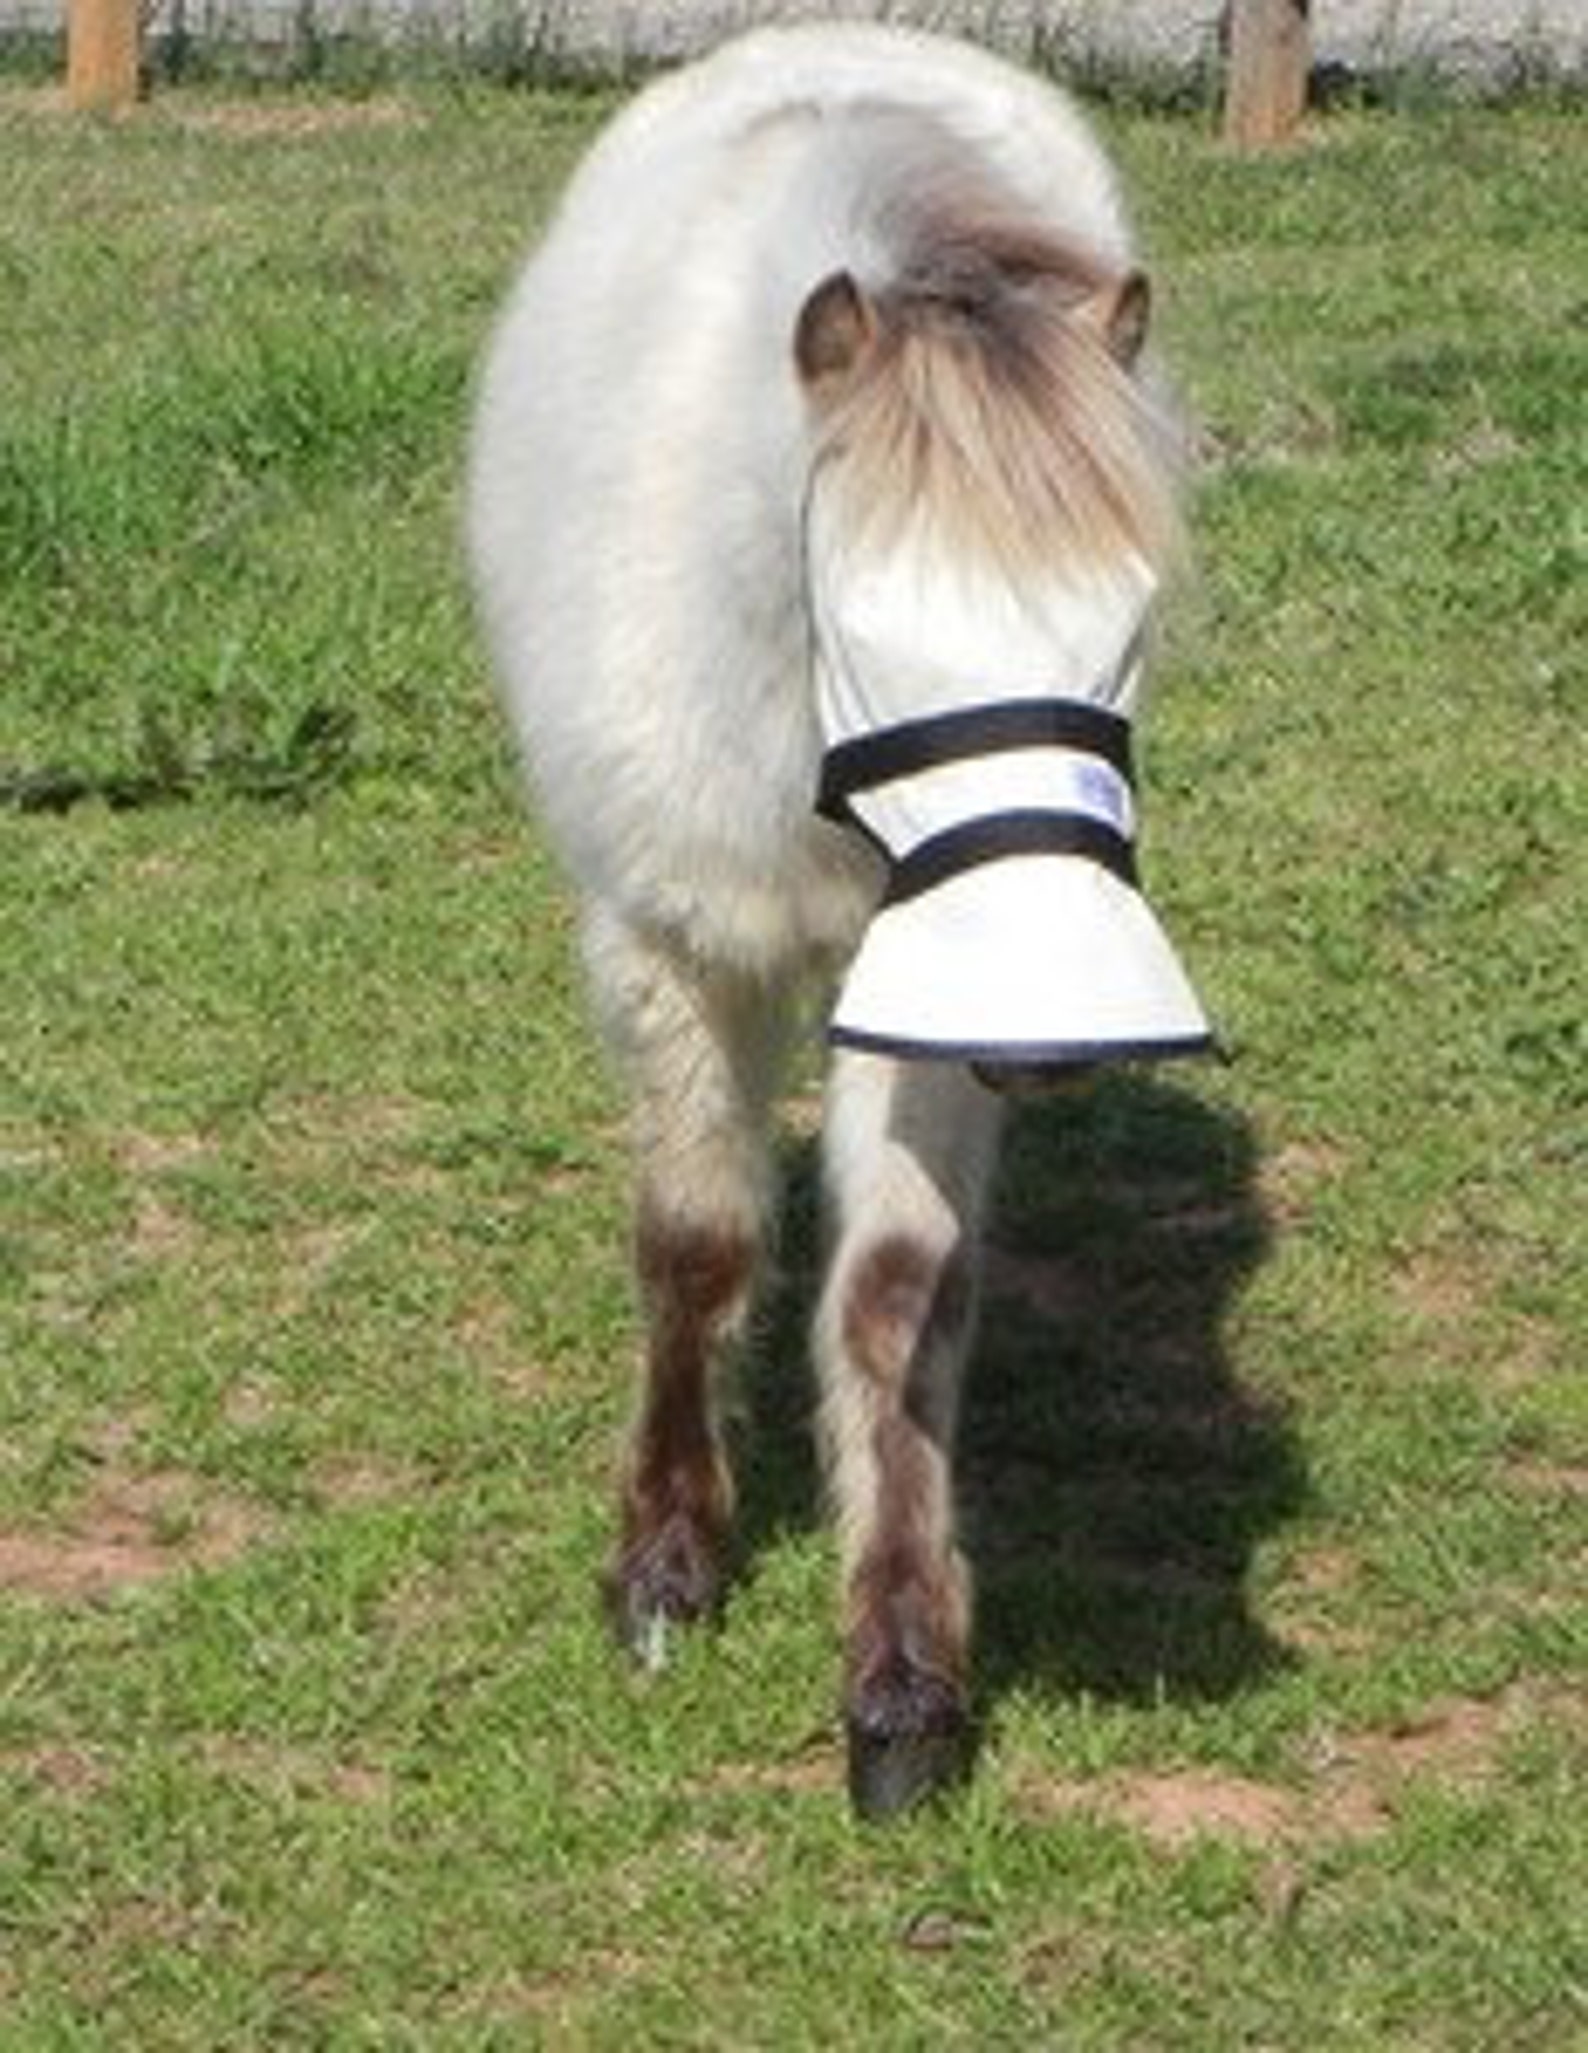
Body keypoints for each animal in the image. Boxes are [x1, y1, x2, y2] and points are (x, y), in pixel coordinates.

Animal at [466, 22, 1196, 1816]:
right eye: (856, 610)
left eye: (1133, 612)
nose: (1057, 1018)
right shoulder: (664, 939)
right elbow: (696, 1237)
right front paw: (665, 1568)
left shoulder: (925, 997)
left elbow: (893, 1294)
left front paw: (901, 1681)